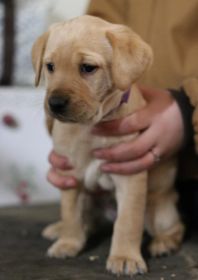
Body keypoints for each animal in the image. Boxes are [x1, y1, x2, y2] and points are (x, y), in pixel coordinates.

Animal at [31, 15, 185, 276]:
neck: (92, 126)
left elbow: (127, 222)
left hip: (159, 209)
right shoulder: (68, 174)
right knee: (85, 221)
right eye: (50, 67)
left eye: (87, 68)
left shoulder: (130, 175)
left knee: (175, 226)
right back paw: (59, 229)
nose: (55, 103)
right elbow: (70, 213)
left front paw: (124, 257)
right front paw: (68, 243)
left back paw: (163, 243)